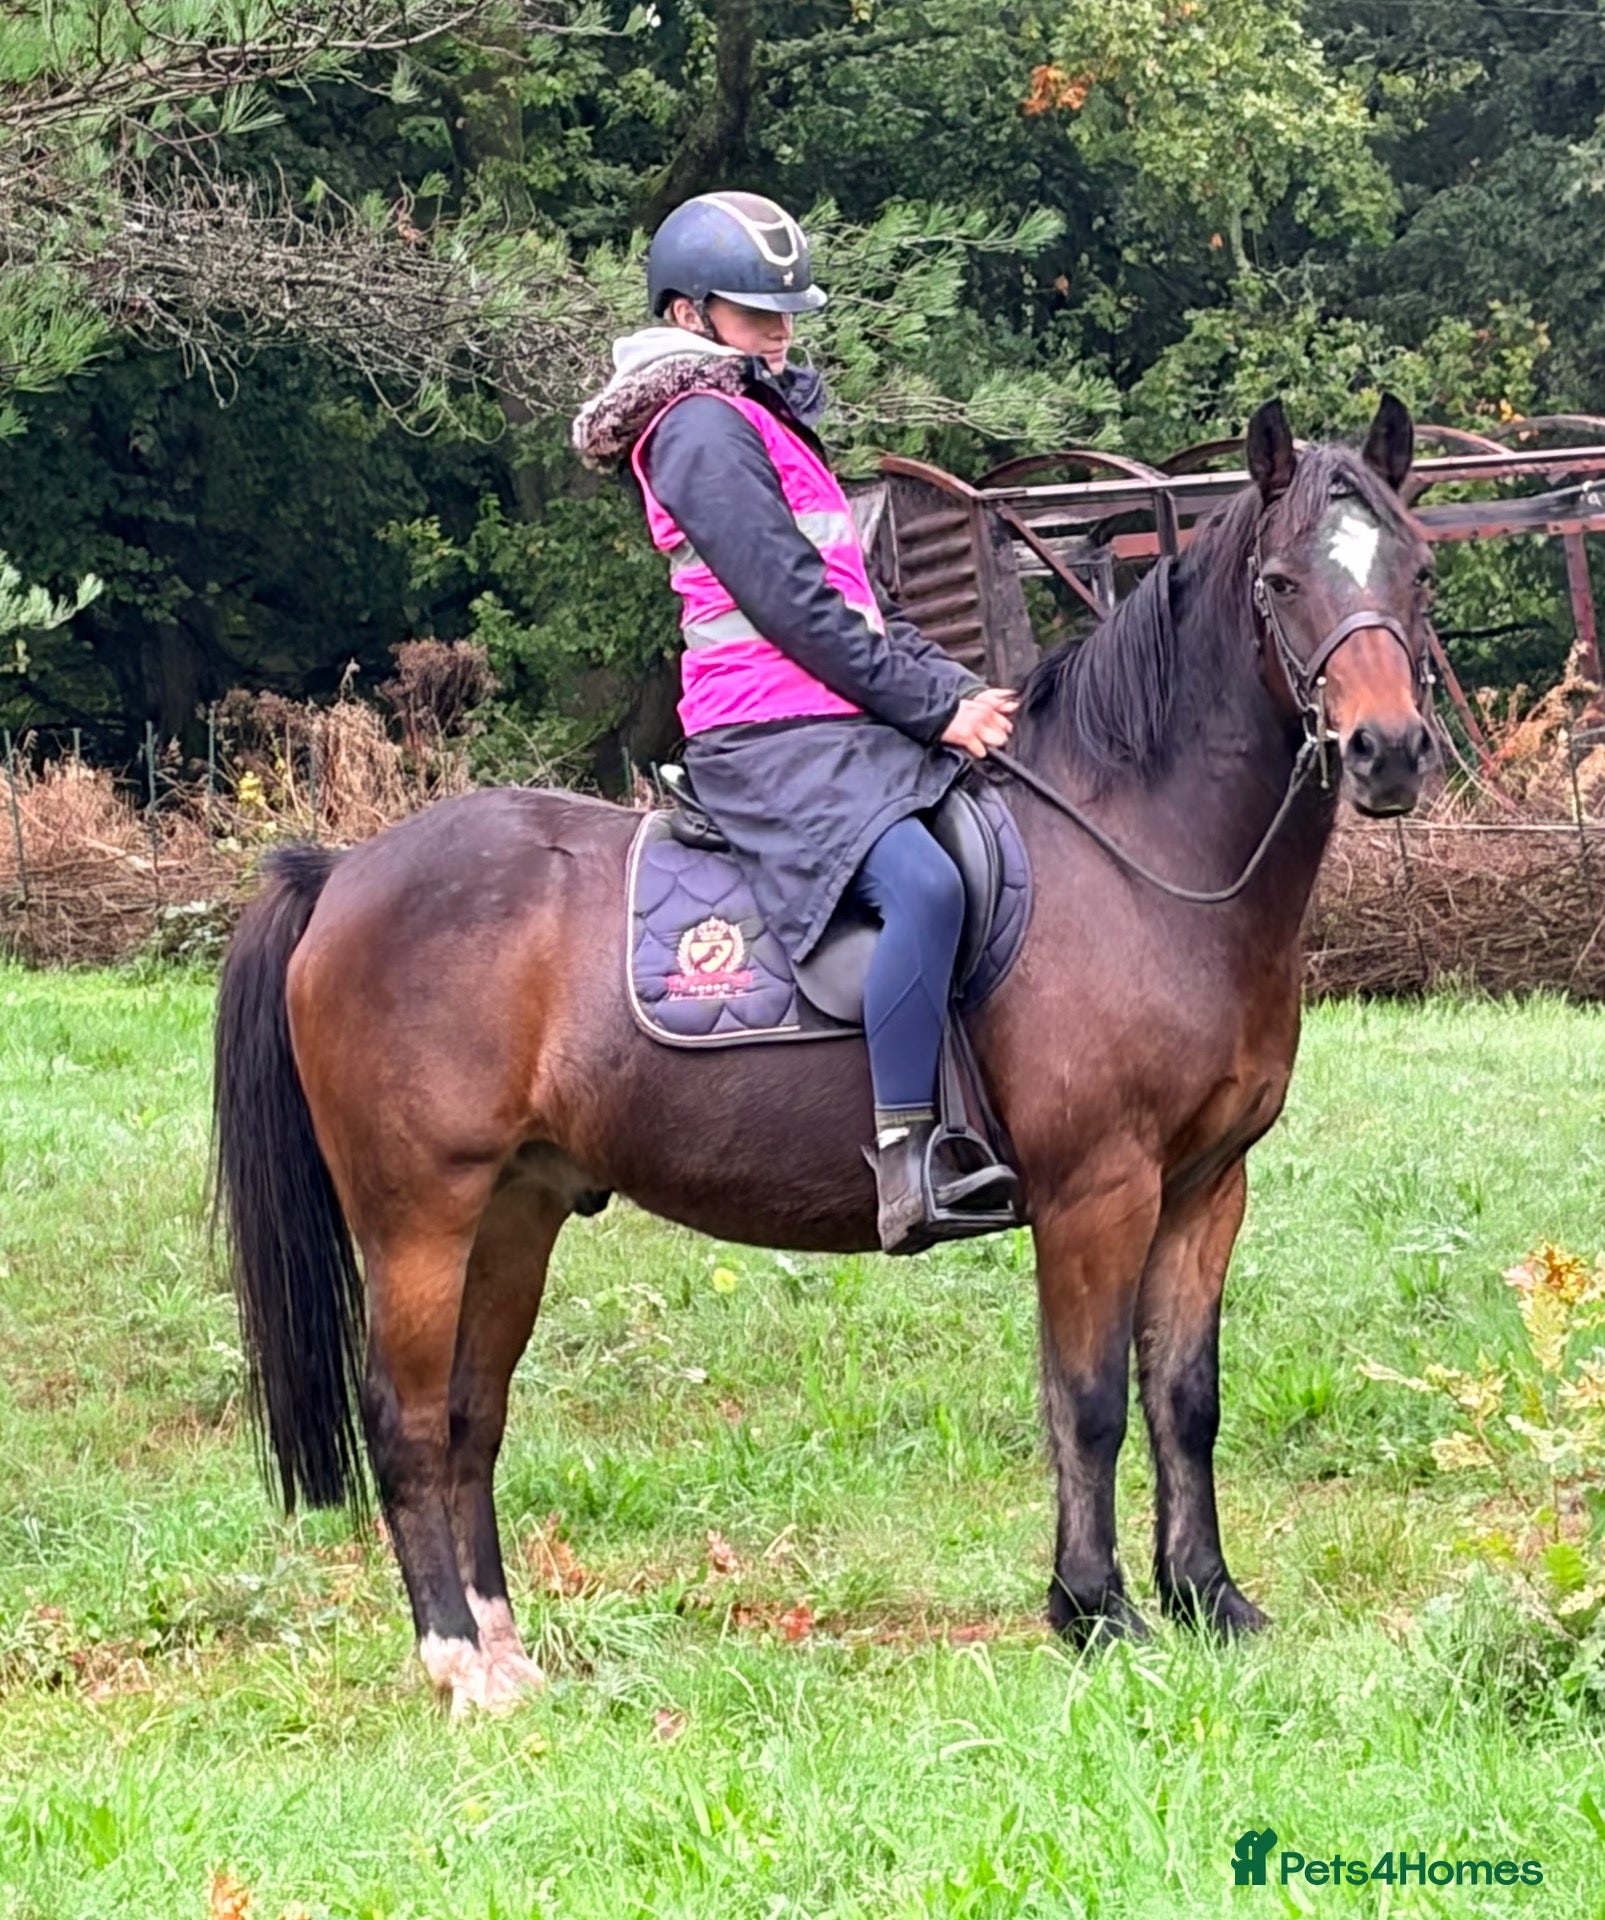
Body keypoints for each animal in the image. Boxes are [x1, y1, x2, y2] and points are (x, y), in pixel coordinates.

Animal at [213, 395, 1437, 1714]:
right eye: (1280, 581)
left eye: (1416, 568)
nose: (1389, 752)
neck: (1137, 855)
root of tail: (342, 874)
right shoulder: (1097, 1191)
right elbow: (1091, 1402)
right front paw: (1095, 1612)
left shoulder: (1208, 1187)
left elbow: (1185, 1399)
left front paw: (1209, 1600)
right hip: (418, 1218)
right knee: (405, 1418)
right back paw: (457, 1664)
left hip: (513, 1211)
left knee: (467, 1420)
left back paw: (503, 1649)